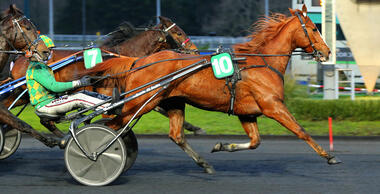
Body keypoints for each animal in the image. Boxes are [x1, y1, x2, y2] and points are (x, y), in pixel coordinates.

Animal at [83, 5, 342, 174]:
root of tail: (138, 61)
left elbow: (255, 142)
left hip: (170, 101)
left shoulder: (247, 113)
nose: (327, 52)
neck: (261, 63)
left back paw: (203, 163)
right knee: (111, 125)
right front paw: (329, 156)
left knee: (174, 135)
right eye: (314, 28)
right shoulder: (273, 106)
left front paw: (222, 146)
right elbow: (301, 131)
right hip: (140, 102)